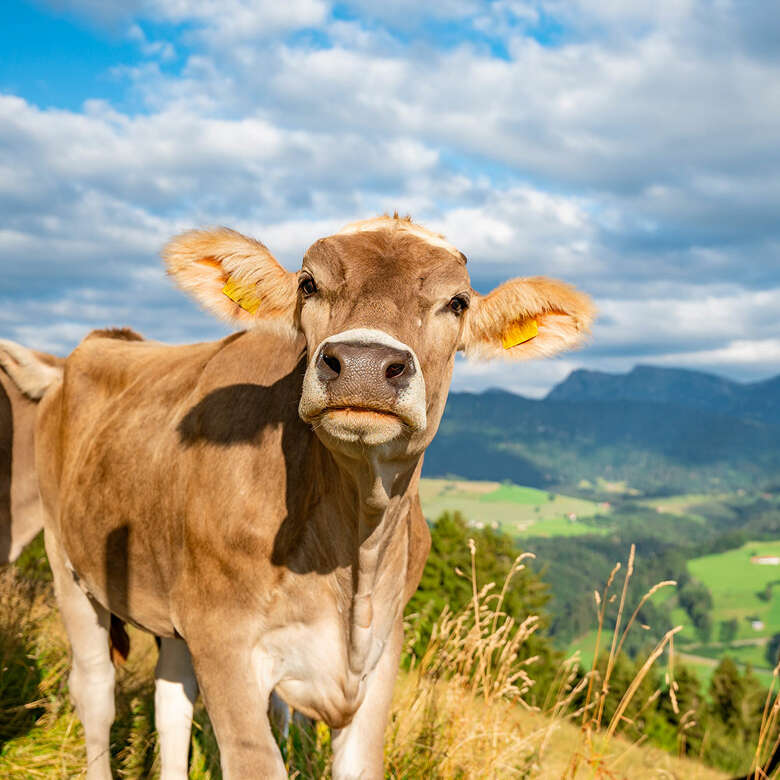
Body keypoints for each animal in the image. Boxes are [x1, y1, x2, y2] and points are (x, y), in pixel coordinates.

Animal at [30, 215, 596, 780]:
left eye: (457, 302)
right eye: (308, 284)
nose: (366, 364)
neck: (353, 556)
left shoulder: (381, 651)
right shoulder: (224, 641)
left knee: (170, 702)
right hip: (66, 557)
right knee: (96, 691)